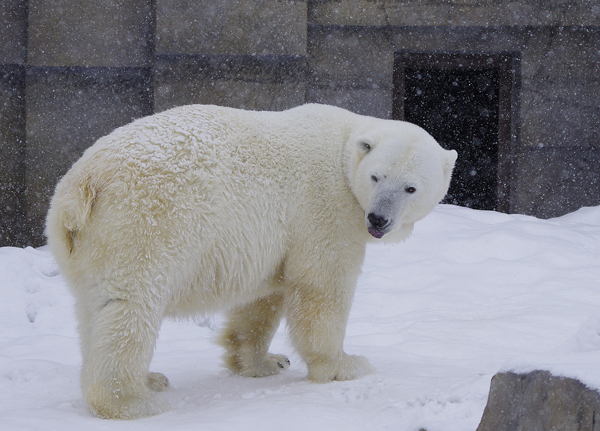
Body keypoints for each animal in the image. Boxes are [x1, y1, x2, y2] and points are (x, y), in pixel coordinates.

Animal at [47, 104, 458, 418]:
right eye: (376, 177)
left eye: (410, 187)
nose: (378, 219)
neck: (345, 147)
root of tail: (80, 188)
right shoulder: (326, 208)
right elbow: (322, 286)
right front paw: (346, 365)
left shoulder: (274, 242)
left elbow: (263, 299)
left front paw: (265, 362)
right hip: (142, 225)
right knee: (129, 308)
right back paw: (135, 401)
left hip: (86, 247)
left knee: (92, 309)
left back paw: (148, 379)